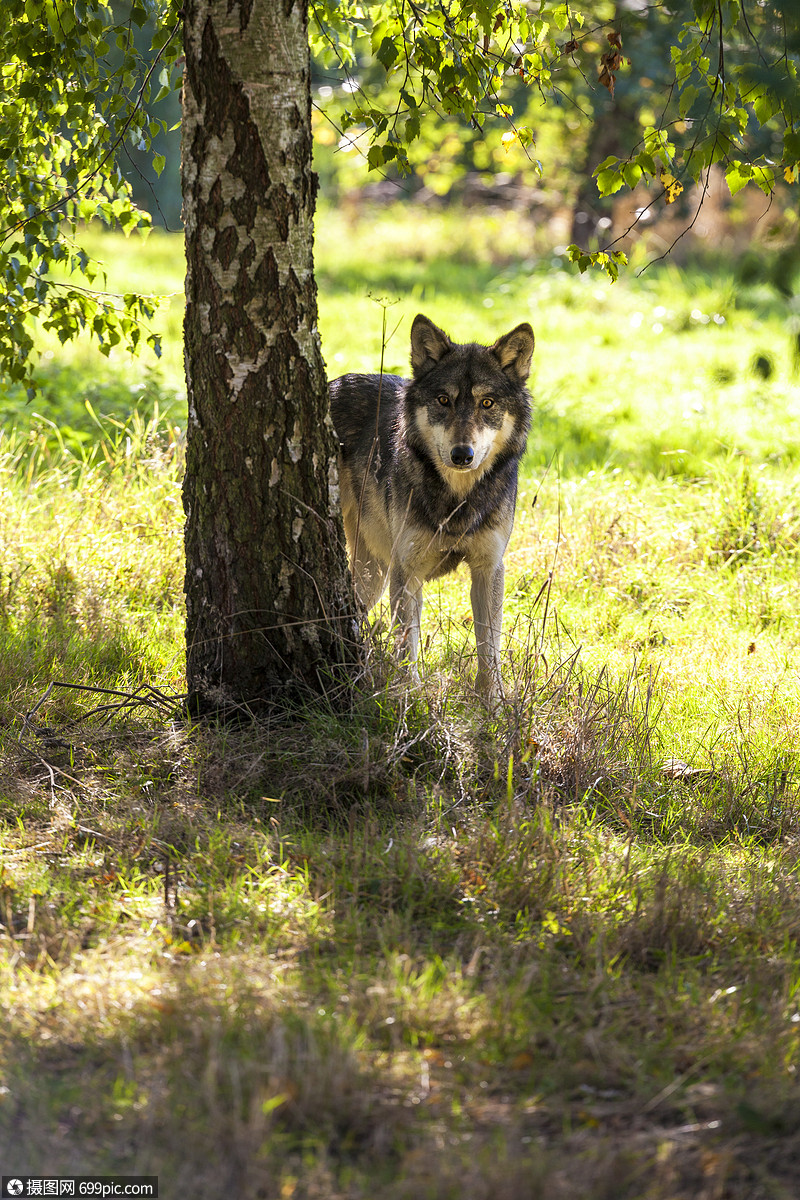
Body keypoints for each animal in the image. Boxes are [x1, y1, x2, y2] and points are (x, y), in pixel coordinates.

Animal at [328, 314, 534, 700]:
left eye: (487, 403)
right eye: (443, 400)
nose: (462, 455)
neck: (457, 502)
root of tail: (332, 383)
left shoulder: (489, 568)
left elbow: (489, 649)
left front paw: (493, 705)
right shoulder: (406, 572)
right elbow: (407, 647)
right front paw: (409, 699)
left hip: (373, 573)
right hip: (379, 572)